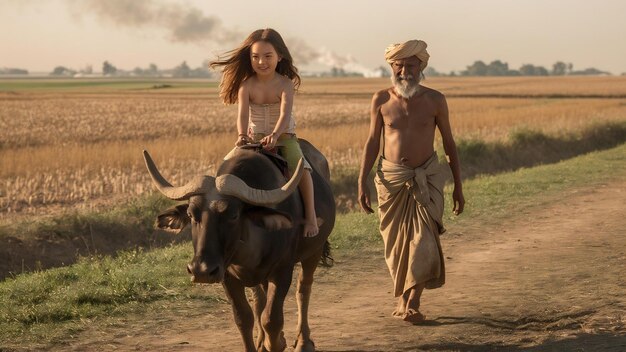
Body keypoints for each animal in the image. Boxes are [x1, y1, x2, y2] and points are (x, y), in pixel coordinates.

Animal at [143, 139, 334, 350]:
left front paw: (277, 342)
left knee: (303, 289)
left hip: (314, 250)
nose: (201, 271)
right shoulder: (227, 276)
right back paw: (262, 340)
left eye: (233, 215)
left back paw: (303, 341)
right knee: (260, 299)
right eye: (191, 215)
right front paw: (265, 341)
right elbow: (243, 318)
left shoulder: (282, 270)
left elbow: (271, 319)